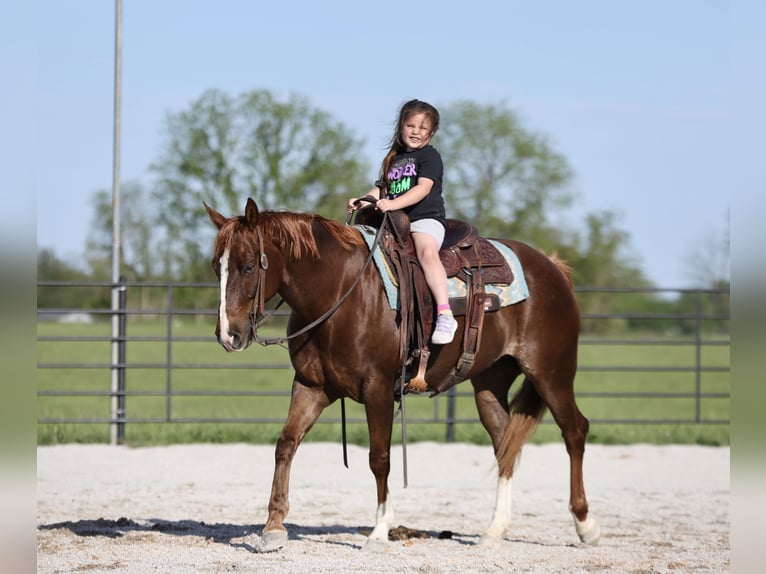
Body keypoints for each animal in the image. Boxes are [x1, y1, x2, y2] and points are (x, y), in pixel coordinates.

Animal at [204, 199, 600, 552]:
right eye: (215, 266)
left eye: (249, 266)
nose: (227, 336)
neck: (341, 292)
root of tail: (552, 268)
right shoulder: (311, 387)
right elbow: (286, 445)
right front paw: (273, 527)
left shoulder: (377, 389)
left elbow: (379, 458)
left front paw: (380, 531)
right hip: (490, 383)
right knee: (506, 444)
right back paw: (494, 531)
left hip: (552, 374)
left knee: (574, 431)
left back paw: (585, 526)